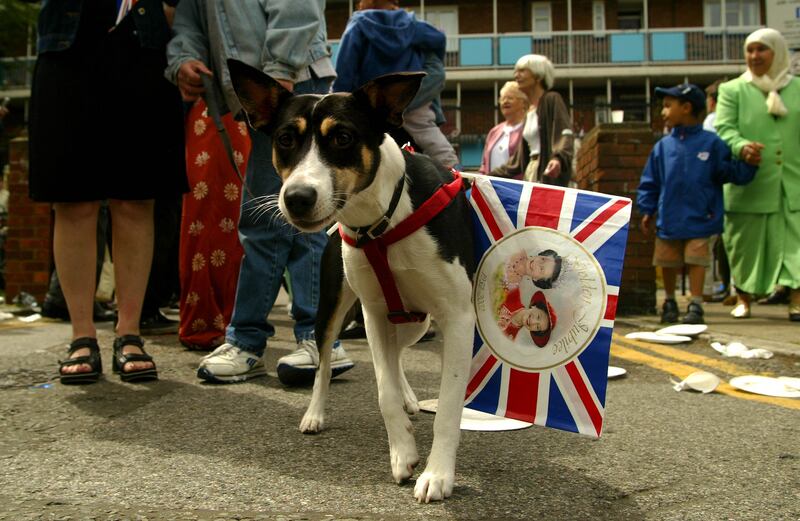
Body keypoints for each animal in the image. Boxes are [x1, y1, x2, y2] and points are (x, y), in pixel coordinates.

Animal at [225, 59, 476, 502]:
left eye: (343, 137)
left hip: (417, 320)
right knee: (326, 365)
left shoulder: (458, 319)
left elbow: (447, 406)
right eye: (285, 139)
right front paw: (403, 452)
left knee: (397, 354)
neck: (383, 219)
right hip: (334, 309)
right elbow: (382, 389)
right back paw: (315, 413)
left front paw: (437, 474)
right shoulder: (374, 313)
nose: (297, 198)